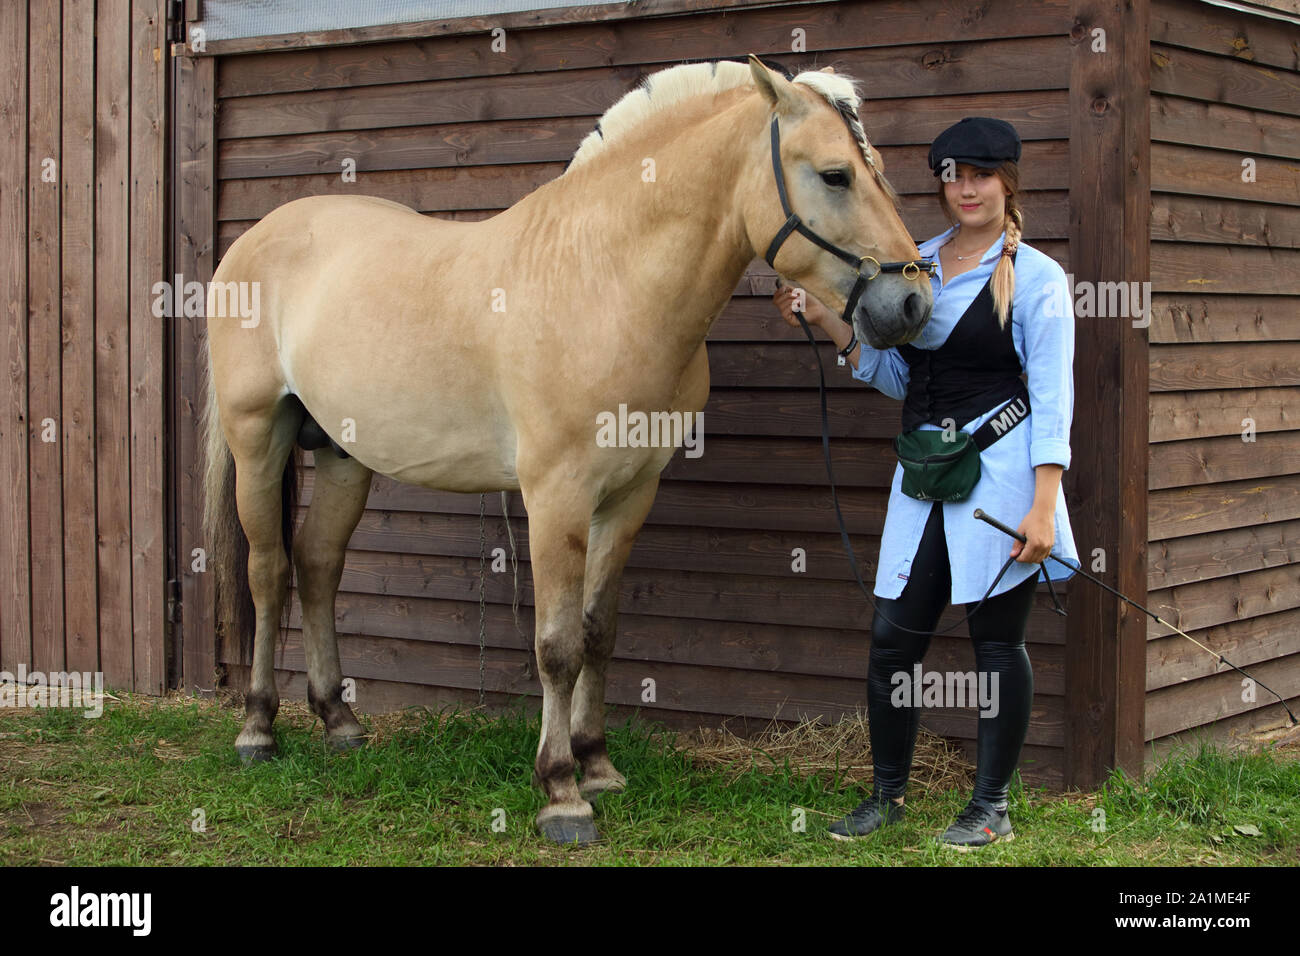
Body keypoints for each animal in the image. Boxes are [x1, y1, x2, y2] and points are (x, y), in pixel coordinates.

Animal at [202, 55, 933, 844]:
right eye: (836, 175)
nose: (913, 305)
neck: (602, 280)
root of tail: (256, 237)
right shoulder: (557, 495)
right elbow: (555, 646)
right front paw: (560, 792)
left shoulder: (629, 496)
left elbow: (597, 631)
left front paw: (598, 764)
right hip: (257, 437)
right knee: (269, 571)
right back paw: (258, 730)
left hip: (342, 454)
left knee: (318, 565)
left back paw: (338, 720)